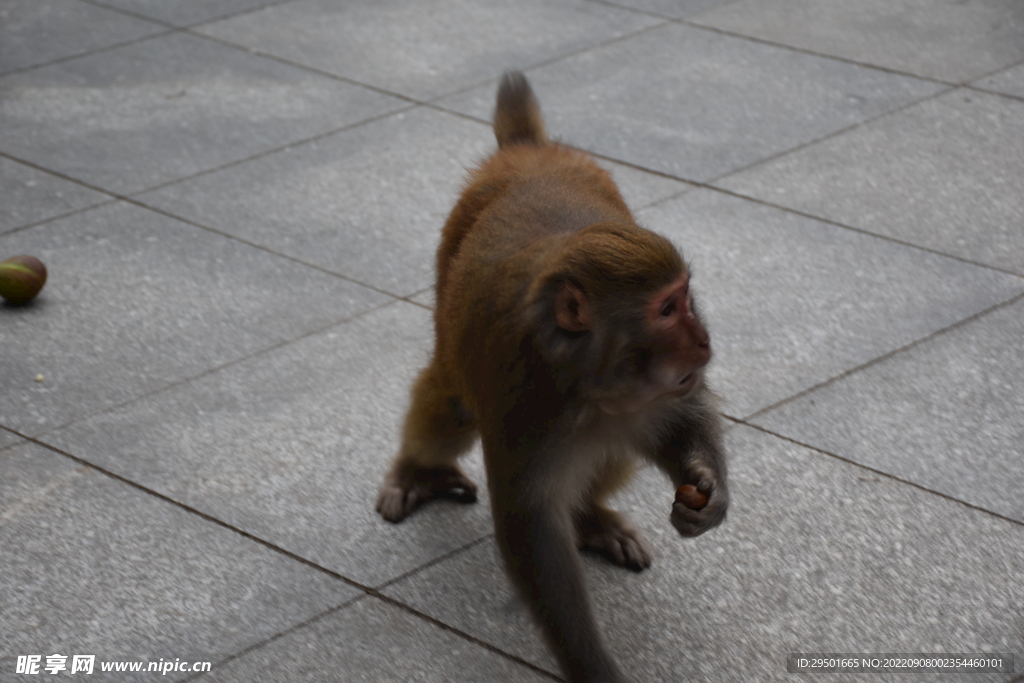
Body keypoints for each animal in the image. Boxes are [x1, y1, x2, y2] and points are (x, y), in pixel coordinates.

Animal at [378, 70, 729, 683]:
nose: (704, 340)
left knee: (615, 443)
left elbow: (680, 419)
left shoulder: (659, 392)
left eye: (686, 297)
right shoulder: (522, 398)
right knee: (453, 405)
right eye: (667, 310)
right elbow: (532, 529)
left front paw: (708, 491)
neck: (594, 382)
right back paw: (419, 472)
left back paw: (590, 520)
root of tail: (528, 150)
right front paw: (593, 667)